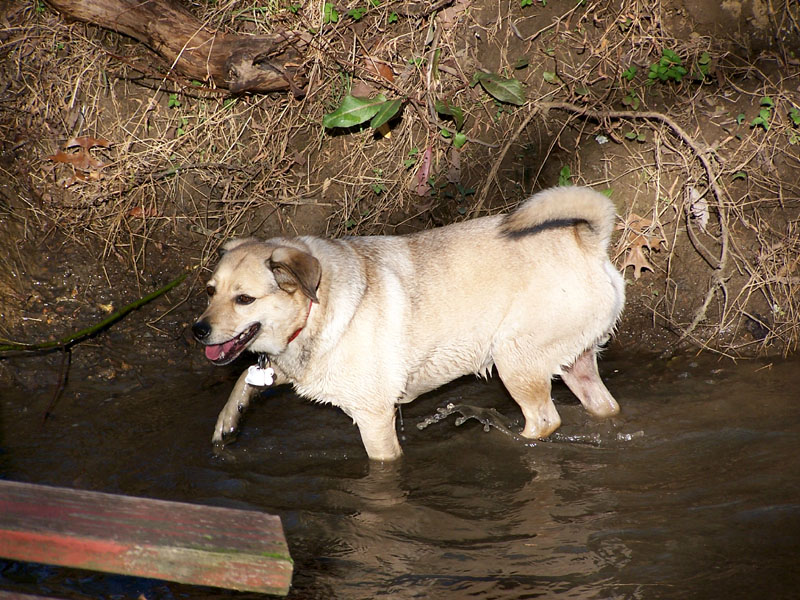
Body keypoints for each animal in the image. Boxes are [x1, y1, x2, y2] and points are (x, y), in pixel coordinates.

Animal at [192, 186, 624, 460]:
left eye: (244, 299)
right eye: (211, 291)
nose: (198, 330)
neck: (318, 307)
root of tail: (589, 244)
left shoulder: (374, 417)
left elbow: (382, 463)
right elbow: (243, 379)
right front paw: (228, 422)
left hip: (515, 362)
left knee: (544, 420)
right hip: (574, 365)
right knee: (604, 406)